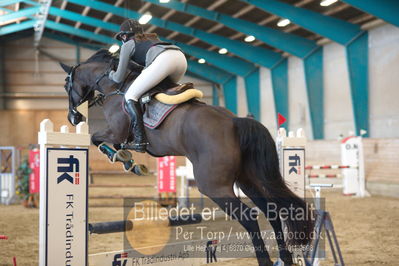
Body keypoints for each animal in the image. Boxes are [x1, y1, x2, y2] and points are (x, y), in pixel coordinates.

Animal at [61, 50, 314, 266]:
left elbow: (98, 139)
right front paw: (130, 161)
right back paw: (286, 258)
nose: (73, 118)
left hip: (213, 186)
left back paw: (265, 260)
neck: (116, 86)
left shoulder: (115, 132)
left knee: (250, 217)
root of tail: (234, 121)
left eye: (66, 84)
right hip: (248, 180)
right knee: (272, 212)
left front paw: (126, 161)